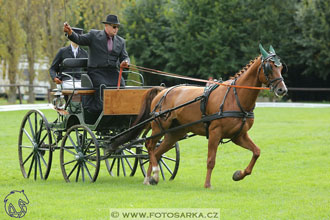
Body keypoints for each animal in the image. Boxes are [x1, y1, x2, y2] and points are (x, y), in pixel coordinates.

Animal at [120, 44, 288, 187]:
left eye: (281, 67)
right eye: (269, 67)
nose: (282, 90)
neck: (235, 97)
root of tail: (162, 91)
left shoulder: (238, 135)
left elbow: (256, 152)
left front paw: (239, 174)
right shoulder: (215, 132)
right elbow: (211, 160)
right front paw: (207, 184)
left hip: (174, 133)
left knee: (156, 152)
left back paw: (149, 178)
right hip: (159, 127)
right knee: (149, 145)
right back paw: (154, 174)